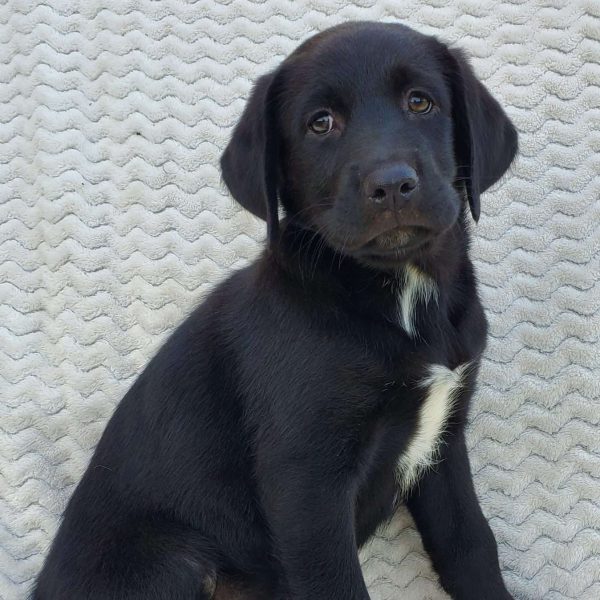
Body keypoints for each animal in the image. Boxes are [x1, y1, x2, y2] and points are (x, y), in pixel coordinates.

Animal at [34, 19, 516, 600]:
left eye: (420, 102)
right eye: (320, 123)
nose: (392, 185)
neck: (397, 296)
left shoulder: (443, 441)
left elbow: (469, 544)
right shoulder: (307, 483)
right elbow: (337, 583)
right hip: (171, 558)